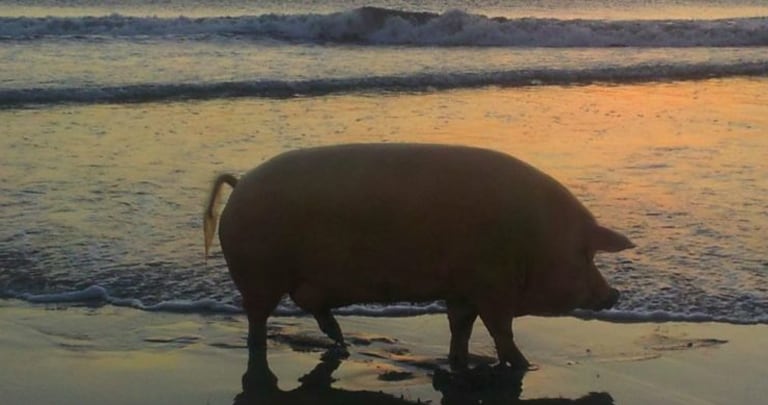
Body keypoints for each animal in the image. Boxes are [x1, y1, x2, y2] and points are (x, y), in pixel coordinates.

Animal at [201, 142, 632, 386]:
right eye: (584, 254)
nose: (614, 295)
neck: (533, 240)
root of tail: (240, 183)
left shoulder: (462, 289)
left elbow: (461, 328)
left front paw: (460, 363)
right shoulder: (491, 287)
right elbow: (501, 332)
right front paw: (523, 366)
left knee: (318, 315)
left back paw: (341, 344)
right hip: (258, 275)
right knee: (257, 321)